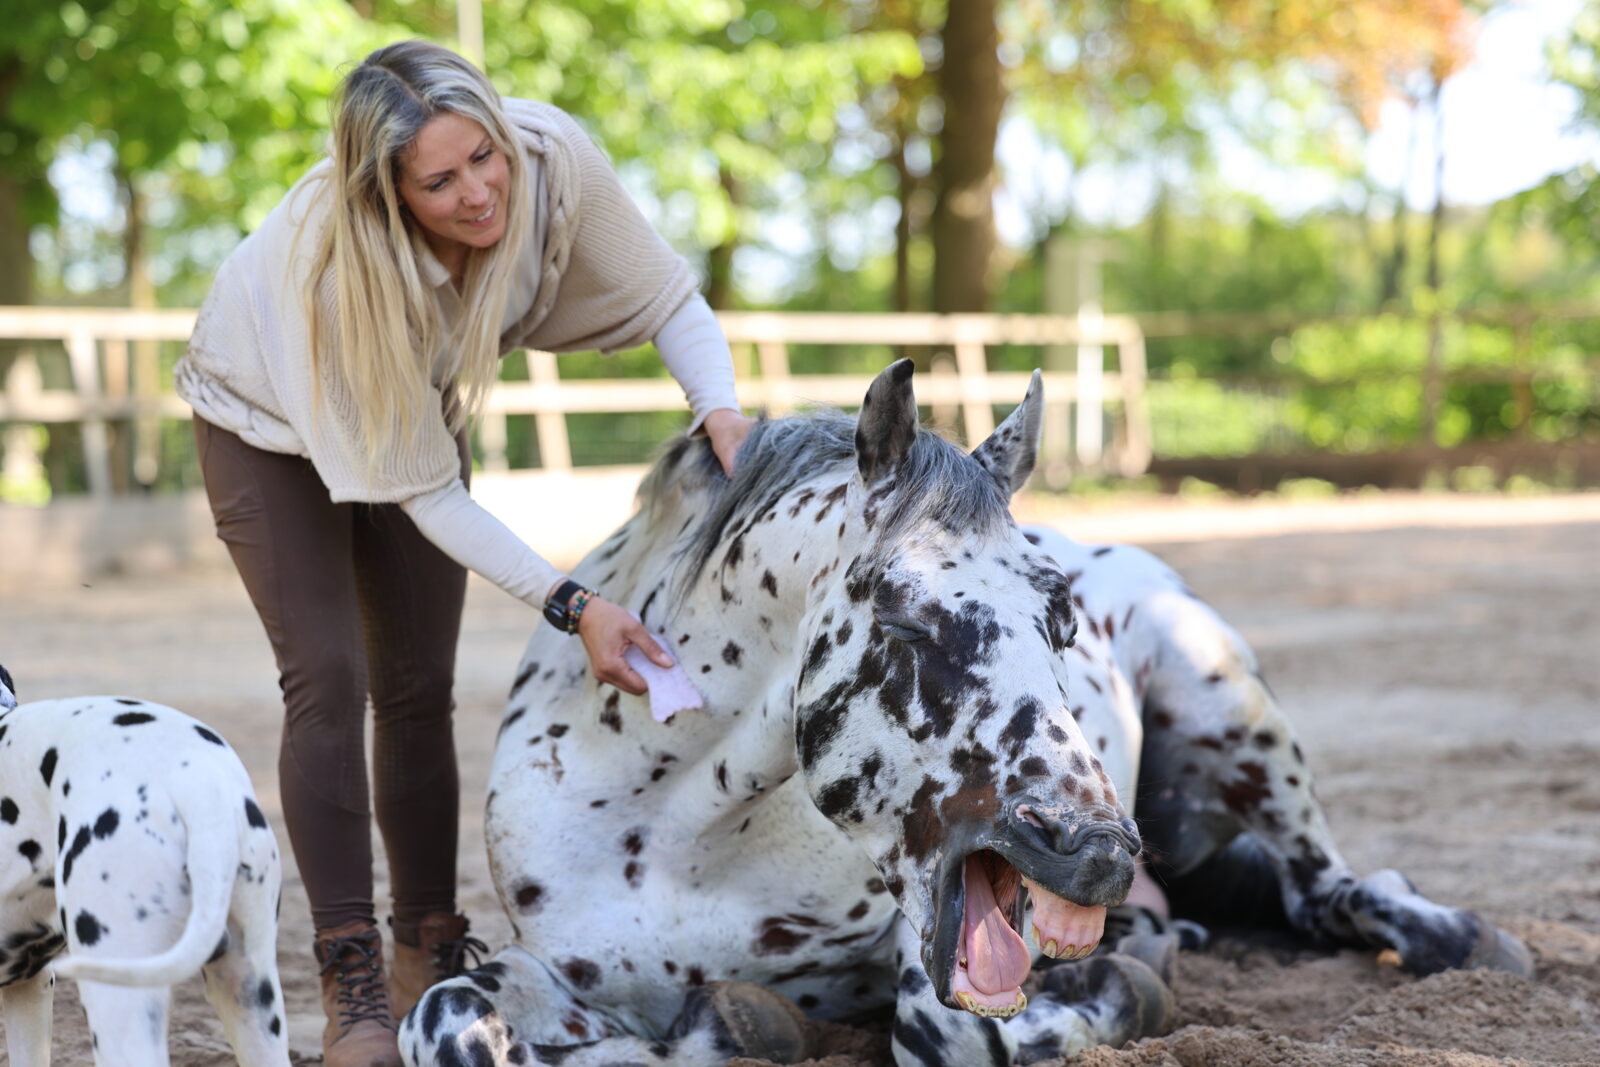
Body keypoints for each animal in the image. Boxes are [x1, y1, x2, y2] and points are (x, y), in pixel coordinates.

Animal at [401, 360, 1530, 1067]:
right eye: (907, 622)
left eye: (1059, 614)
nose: (1096, 851)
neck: (674, 839)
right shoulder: (554, 970)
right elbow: (444, 1016)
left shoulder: (926, 967)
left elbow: (946, 1028)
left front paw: (1127, 984)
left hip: (1229, 698)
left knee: (1328, 885)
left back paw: (1461, 937)